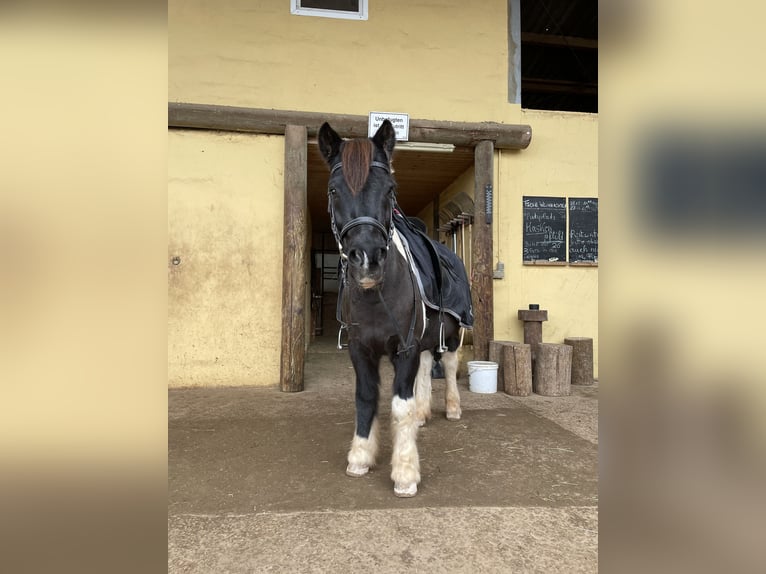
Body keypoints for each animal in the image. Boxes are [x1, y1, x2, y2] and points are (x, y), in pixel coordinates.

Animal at [318, 119, 474, 498]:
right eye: (333, 190)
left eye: (390, 189)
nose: (367, 259)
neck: (378, 295)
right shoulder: (361, 349)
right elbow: (366, 397)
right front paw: (360, 456)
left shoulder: (404, 348)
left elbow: (400, 407)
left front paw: (405, 472)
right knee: (426, 367)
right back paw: (424, 413)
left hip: (452, 333)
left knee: (448, 365)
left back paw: (452, 408)